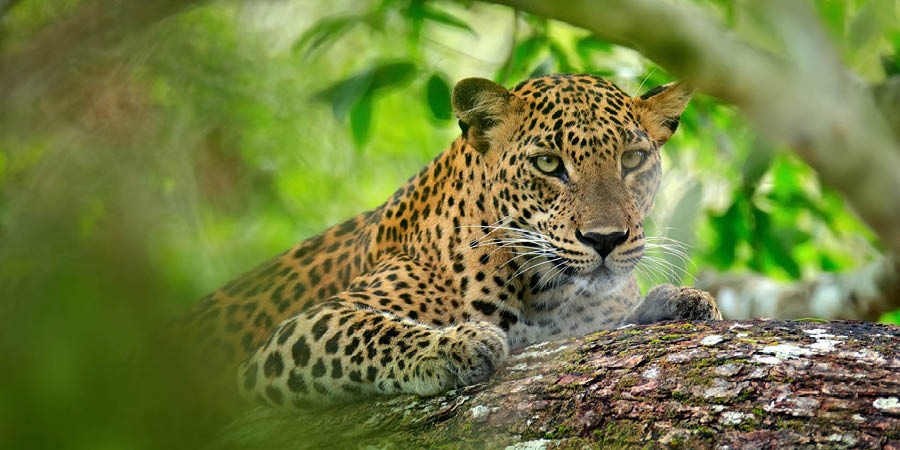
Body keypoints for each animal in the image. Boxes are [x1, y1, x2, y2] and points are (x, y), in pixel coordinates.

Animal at [183, 73, 722, 409]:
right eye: (549, 164)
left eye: (632, 159)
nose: (605, 239)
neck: (546, 292)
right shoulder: (294, 335)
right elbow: (364, 330)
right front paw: (454, 346)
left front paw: (679, 301)